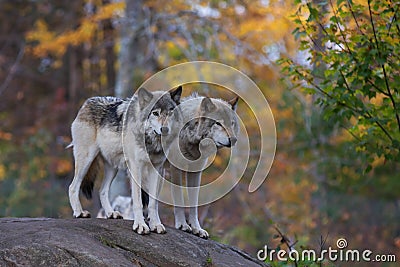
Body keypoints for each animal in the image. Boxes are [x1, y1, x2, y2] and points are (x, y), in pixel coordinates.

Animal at [67, 86, 183, 234]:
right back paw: (79, 212)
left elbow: (153, 203)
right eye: (155, 113)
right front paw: (140, 225)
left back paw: (111, 213)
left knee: (102, 191)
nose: (165, 129)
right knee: (73, 187)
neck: (150, 141)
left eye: (170, 112)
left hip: (112, 167)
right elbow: (138, 201)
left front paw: (155, 224)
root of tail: (88, 102)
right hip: (86, 160)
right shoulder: (135, 168)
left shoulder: (157, 169)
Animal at [165, 93, 239, 239]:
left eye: (232, 123)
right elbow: (179, 199)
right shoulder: (175, 169)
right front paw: (182, 225)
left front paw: (197, 229)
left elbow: (194, 204)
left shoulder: (196, 172)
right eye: (218, 123)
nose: (233, 140)